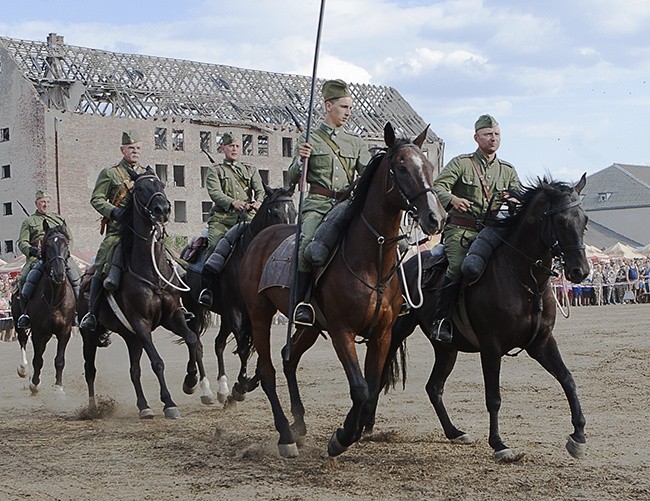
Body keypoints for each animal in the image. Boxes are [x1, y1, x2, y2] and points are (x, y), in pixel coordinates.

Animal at [11, 224, 75, 394]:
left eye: (66, 244)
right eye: (47, 245)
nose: (59, 273)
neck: (54, 299)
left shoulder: (64, 331)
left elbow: (59, 360)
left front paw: (59, 387)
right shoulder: (38, 331)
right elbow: (37, 359)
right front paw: (34, 384)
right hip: (18, 321)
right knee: (22, 340)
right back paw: (23, 369)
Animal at [77, 172, 211, 418]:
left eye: (160, 184)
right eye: (139, 189)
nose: (163, 209)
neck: (150, 270)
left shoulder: (172, 316)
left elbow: (191, 340)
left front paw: (191, 382)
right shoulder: (141, 323)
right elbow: (157, 362)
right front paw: (169, 403)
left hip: (132, 338)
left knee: (134, 370)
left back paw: (144, 405)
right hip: (90, 335)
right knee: (90, 369)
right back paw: (92, 409)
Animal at [181, 184, 294, 402]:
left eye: (293, 211)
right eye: (274, 212)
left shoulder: (255, 310)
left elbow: (254, 344)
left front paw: (249, 380)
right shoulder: (235, 309)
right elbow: (243, 347)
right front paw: (242, 384)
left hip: (223, 315)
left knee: (218, 344)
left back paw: (222, 388)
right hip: (196, 308)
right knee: (196, 344)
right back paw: (199, 385)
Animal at [238, 122, 446, 458]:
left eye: (427, 166)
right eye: (402, 168)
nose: (435, 217)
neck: (372, 261)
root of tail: (261, 238)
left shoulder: (382, 334)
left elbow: (371, 387)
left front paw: (354, 430)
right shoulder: (341, 331)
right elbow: (359, 388)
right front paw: (342, 437)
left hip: (309, 326)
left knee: (288, 358)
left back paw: (299, 423)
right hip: (259, 315)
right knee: (267, 372)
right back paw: (285, 436)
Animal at [370, 175, 588, 460]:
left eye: (584, 220)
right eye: (560, 221)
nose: (580, 270)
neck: (524, 280)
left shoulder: (541, 343)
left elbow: (568, 379)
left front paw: (578, 435)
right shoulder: (491, 347)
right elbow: (493, 397)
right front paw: (499, 444)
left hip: (446, 348)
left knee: (434, 387)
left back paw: (454, 432)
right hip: (395, 332)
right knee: (379, 376)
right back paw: (365, 425)